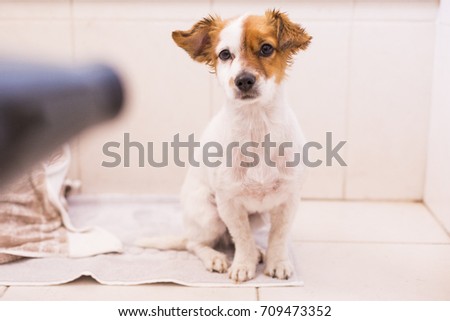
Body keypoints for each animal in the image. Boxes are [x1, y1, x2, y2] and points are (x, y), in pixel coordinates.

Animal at [139, 8, 312, 282]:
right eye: (224, 54)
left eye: (266, 48)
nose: (243, 80)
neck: (256, 128)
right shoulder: (228, 203)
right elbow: (241, 238)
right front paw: (243, 264)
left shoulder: (288, 200)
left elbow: (277, 236)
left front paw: (276, 261)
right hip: (210, 216)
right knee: (196, 243)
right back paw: (216, 257)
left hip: (257, 217)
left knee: (230, 239)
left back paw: (259, 252)